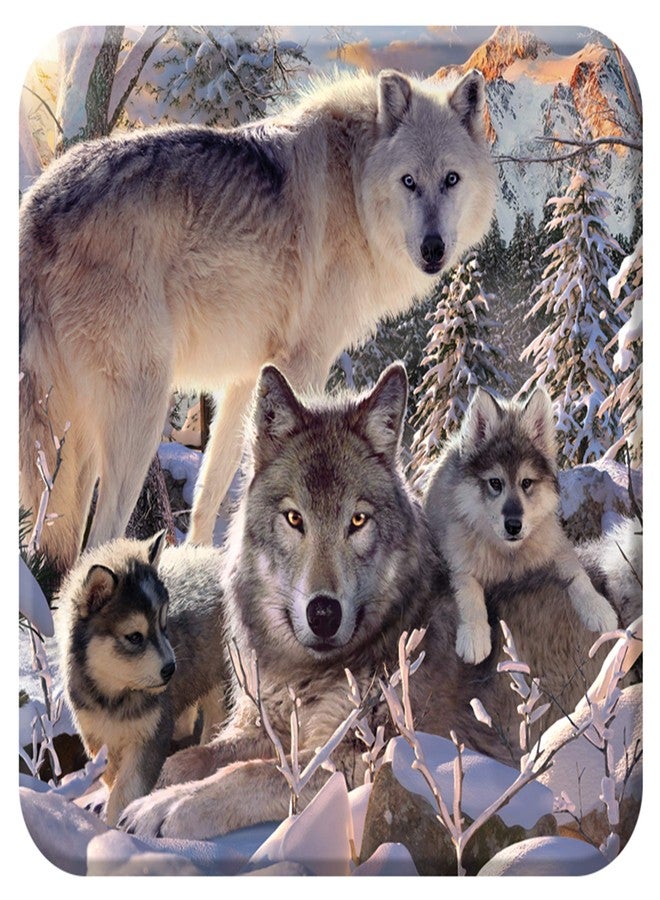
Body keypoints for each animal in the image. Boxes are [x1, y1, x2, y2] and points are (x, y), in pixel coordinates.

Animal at [19, 66, 496, 571]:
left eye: (451, 179)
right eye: (409, 182)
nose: (433, 248)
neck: (355, 185)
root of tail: (35, 207)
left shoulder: (246, 376)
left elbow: (210, 490)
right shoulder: (305, 362)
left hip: (77, 438)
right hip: (140, 410)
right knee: (99, 538)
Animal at [55, 531, 229, 825]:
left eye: (163, 625)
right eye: (134, 637)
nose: (171, 669)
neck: (115, 695)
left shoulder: (150, 736)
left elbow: (127, 789)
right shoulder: (98, 736)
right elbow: (112, 778)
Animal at [422, 387, 619, 664]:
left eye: (527, 482)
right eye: (495, 483)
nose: (514, 525)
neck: (509, 556)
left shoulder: (556, 546)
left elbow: (577, 574)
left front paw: (599, 609)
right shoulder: (457, 561)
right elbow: (468, 590)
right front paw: (474, 635)